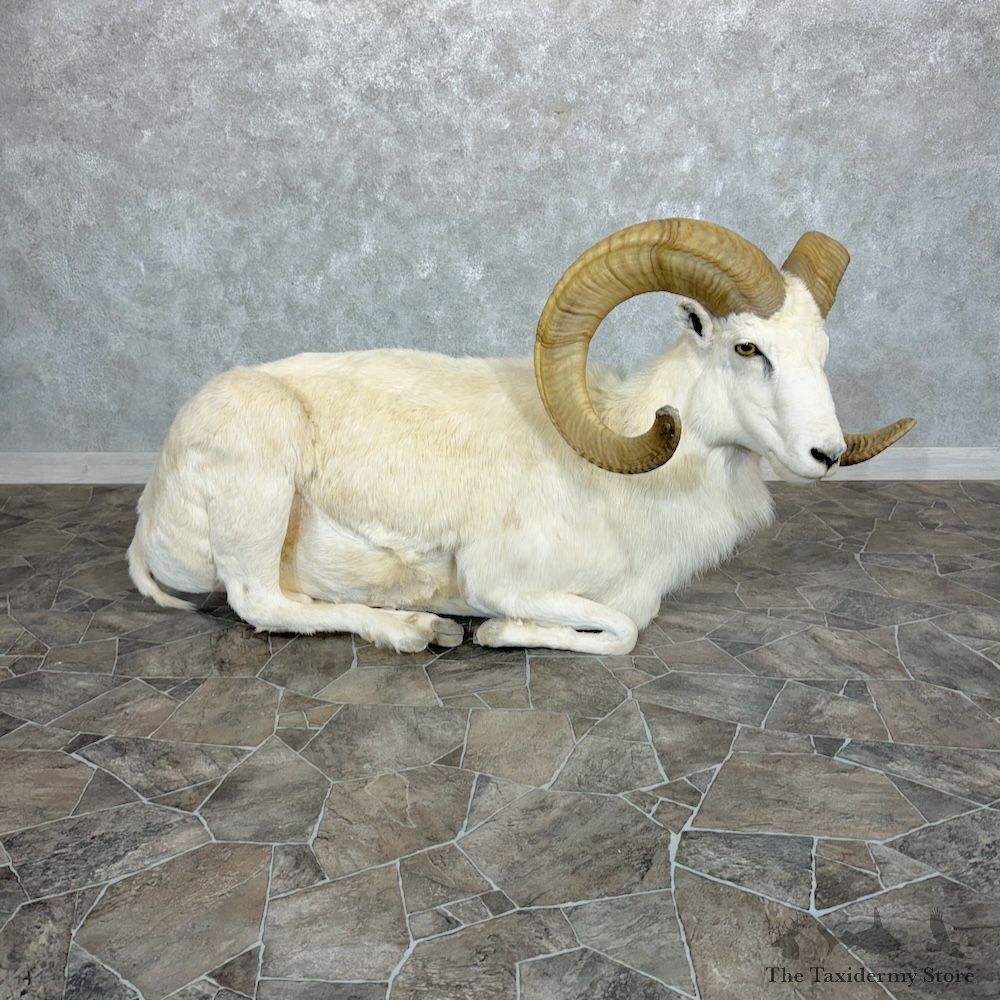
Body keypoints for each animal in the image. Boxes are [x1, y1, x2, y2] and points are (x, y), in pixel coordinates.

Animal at [127, 219, 914, 655]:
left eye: (821, 350)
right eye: (749, 349)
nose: (825, 455)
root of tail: (150, 517)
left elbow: (628, 624)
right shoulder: (502, 578)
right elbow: (623, 632)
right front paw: (494, 633)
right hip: (259, 487)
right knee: (259, 602)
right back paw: (420, 631)